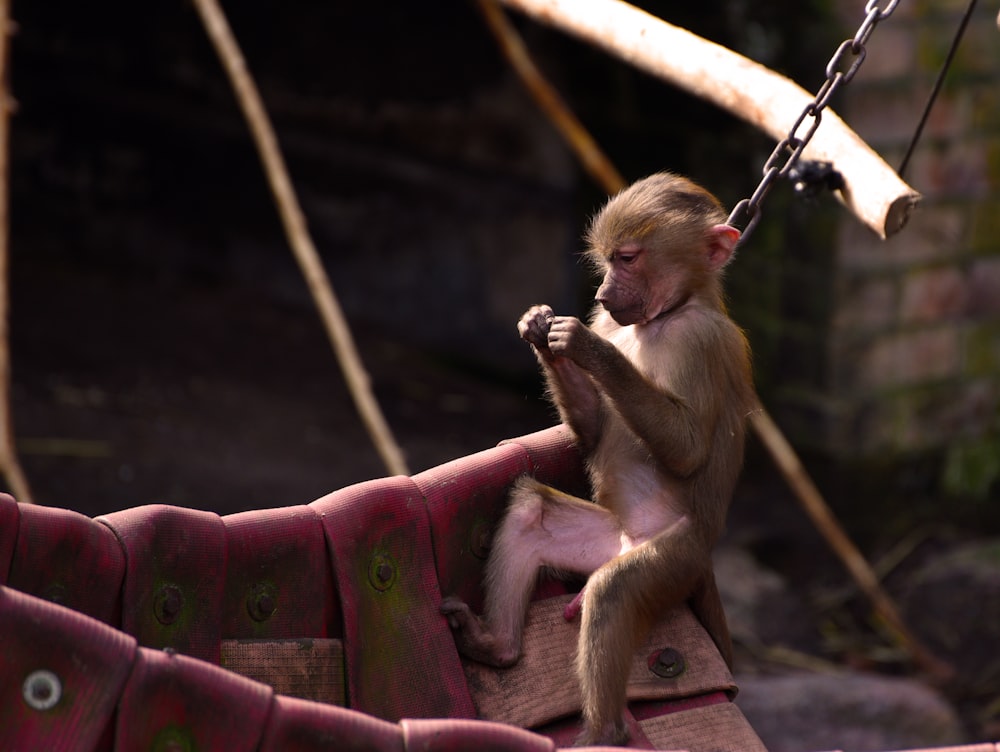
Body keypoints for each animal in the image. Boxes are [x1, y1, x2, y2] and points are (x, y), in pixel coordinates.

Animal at [442, 172, 752, 748]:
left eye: (627, 258)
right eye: (607, 261)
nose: (603, 295)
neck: (663, 318)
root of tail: (627, 540)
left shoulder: (700, 341)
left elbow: (687, 449)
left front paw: (581, 345)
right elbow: (589, 432)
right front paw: (539, 329)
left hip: (675, 558)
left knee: (613, 591)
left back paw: (604, 731)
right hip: (600, 539)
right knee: (531, 510)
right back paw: (496, 646)